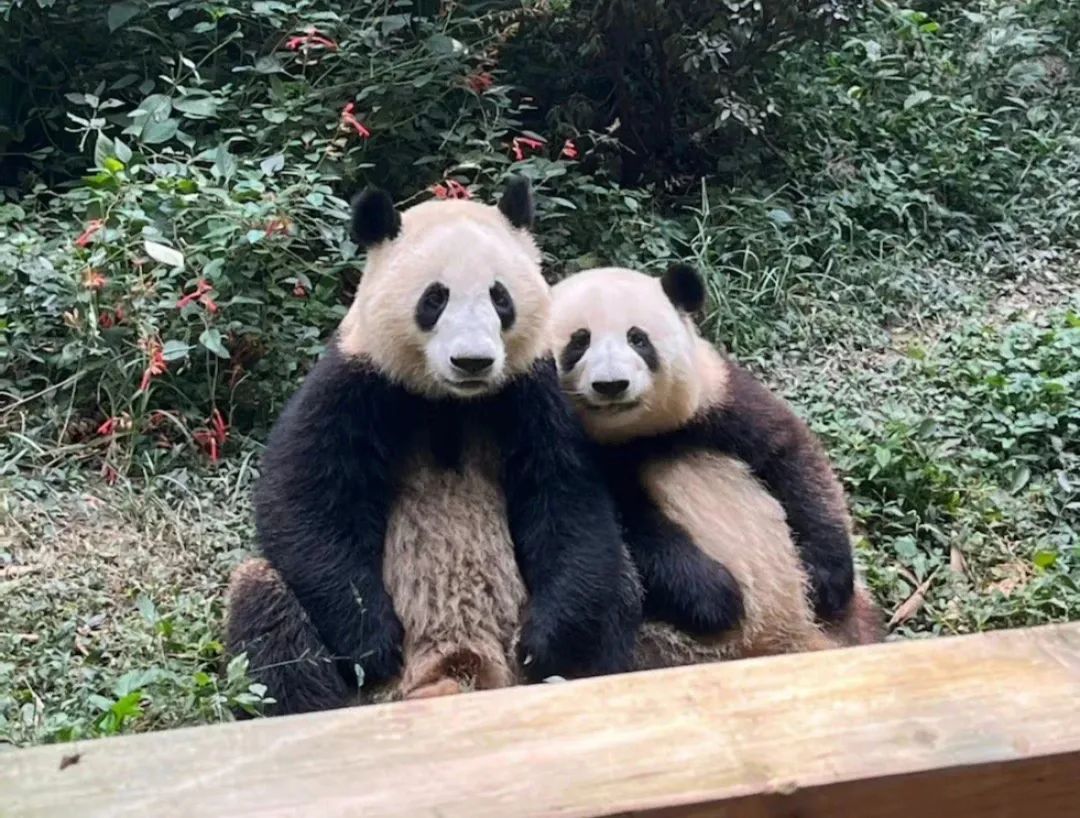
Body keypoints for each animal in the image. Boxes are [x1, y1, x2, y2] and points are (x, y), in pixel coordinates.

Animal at [221, 180, 639, 713]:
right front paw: (374, 642)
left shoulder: (531, 392)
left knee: (614, 584)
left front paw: (541, 644)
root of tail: (454, 671)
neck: (449, 401)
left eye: (500, 298)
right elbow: (305, 499)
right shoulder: (356, 382)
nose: (473, 361)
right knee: (265, 604)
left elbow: (565, 499)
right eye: (434, 299)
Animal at [548, 263, 885, 665]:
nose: (611, 384)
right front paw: (718, 597)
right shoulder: (583, 454)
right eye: (579, 342)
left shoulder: (717, 399)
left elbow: (791, 455)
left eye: (638, 339)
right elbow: (630, 525)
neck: (634, 435)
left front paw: (828, 578)